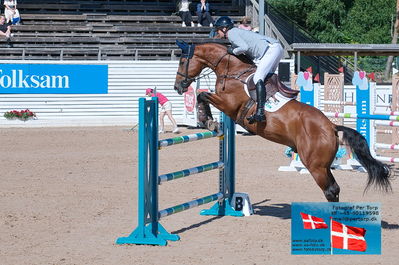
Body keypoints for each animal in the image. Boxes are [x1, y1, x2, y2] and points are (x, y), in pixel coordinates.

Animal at [173, 40, 396, 201]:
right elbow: (202, 95)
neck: (233, 71)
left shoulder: (228, 105)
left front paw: (207, 120)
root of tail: (332, 127)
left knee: (331, 190)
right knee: (334, 189)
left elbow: (202, 95)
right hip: (322, 166)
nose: (178, 87)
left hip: (316, 166)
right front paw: (207, 120)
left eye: (183, 62)